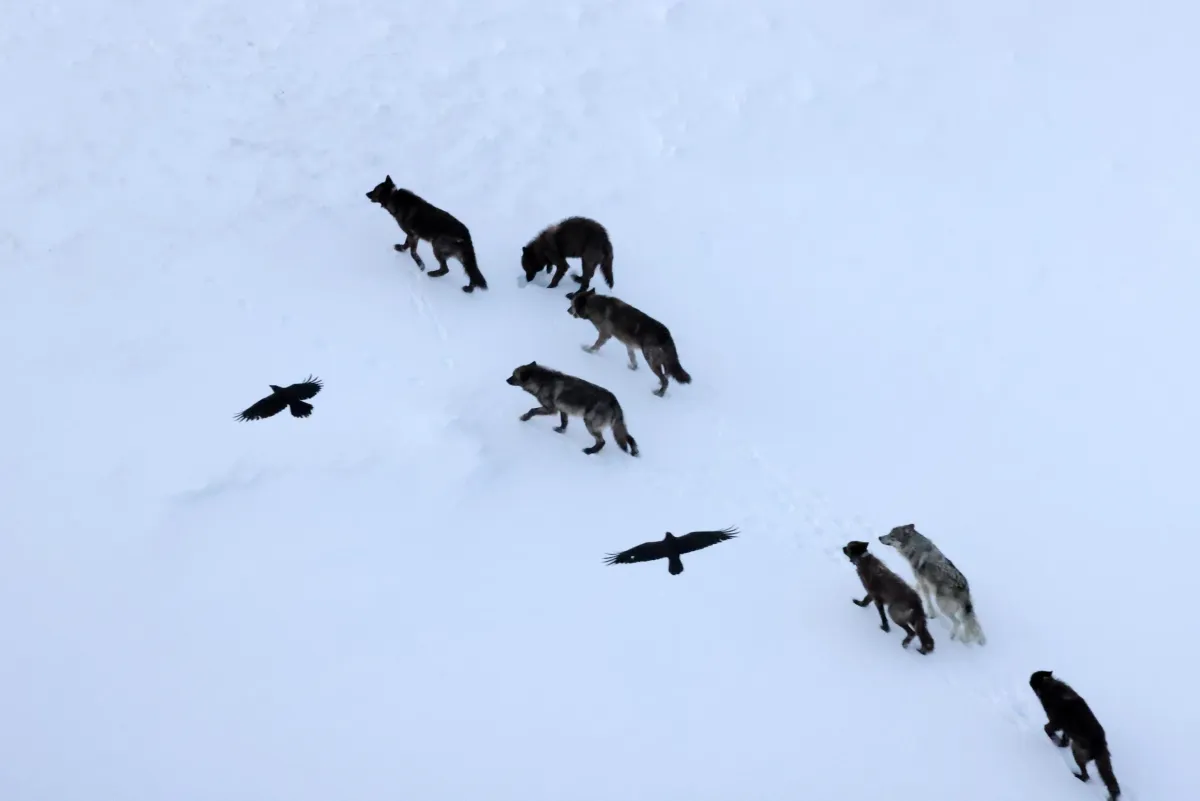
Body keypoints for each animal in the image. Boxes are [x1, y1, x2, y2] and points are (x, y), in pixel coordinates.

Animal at [505, 361, 639, 456]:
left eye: (513, 375)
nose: (506, 380)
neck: (542, 381)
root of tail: (614, 401)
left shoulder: (550, 409)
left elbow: (532, 410)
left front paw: (524, 418)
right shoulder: (563, 410)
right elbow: (564, 422)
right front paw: (561, 430)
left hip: (589, 423)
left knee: (602, 441)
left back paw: (590, 451)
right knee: (629, 437)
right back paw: (634, 452)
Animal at [1029, 670, 1121, 800]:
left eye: (1033, 679)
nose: (1028, 680)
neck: (1051, 687)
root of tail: (1101, 745)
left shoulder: (1055, 723)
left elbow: (1047, 729)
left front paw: (1054, 740)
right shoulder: (1066, 729)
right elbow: (1064, 738)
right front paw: (1061, 743)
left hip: (1077, 751)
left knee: (1086, 776)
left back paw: (1077, 776)